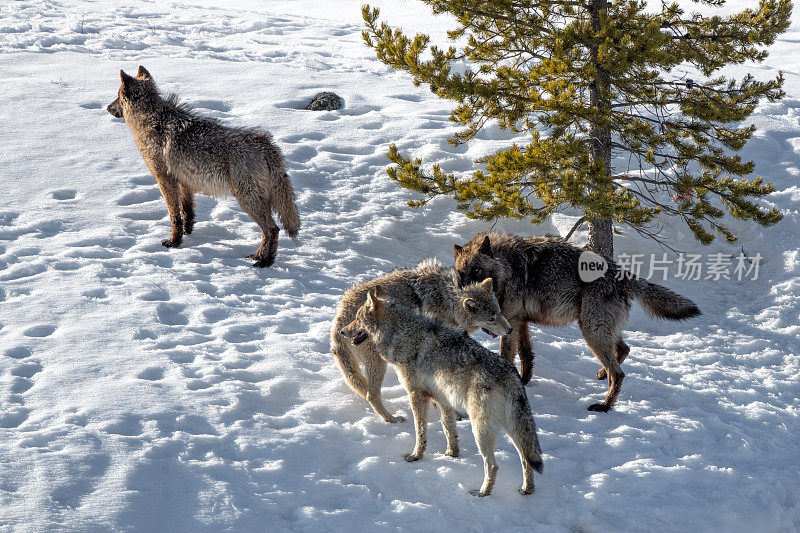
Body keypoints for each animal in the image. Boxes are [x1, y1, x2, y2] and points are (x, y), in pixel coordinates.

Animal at [106, 66, 300, 266]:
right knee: (269, 230)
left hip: (247, 200)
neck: (153, 121)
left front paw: (174, 242)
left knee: (272, 229)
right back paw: (259, 256)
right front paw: (187, 234)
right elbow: (187, 212)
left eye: (118, 96)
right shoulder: (185, 182)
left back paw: (265, 262)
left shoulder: (164, 180)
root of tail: (265, 144)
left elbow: (174, 216)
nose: (107, 107)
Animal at [332, 260, 512, 422]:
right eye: (491, 319)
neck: (449, 302)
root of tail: (338, 321)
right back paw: (392, 419)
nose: (510, 329)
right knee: (372, 395)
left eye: (499, 312)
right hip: (378, 363)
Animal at [338, 288, 544, 496]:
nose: (342, 331)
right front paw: (451, 454)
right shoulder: (442, 399)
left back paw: (482, 493)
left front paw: (416, 455)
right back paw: (527, 490)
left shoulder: (416, 395)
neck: (402, 334)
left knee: (493, 466)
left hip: (480, 431)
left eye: (357, 319)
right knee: (526, 459)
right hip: (512, 431)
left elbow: (420, 432)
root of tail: (511, 375)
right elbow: (449, 430)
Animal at [454, 233, 704, 412]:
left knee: (619, 373)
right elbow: (526, 356)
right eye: (461, 274)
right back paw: (602, 374)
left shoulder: (512, 322)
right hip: (597, 330)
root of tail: (621, 273)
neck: (507, 267)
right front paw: (523, 381)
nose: (465, 295)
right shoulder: (520, 323)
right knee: (624, 349)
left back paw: (604, 406)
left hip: (591, 332)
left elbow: (508, 355)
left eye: (477, 270)